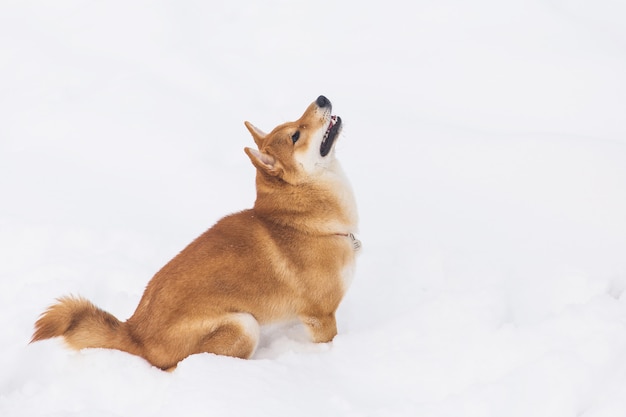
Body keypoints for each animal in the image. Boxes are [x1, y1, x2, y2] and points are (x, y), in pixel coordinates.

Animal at [31, 95, 358, 370]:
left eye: (295, 123)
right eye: (295, 135)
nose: (321, 98)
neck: (299, 221)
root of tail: (134, 334)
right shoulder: (321, 317)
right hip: (243, 324)